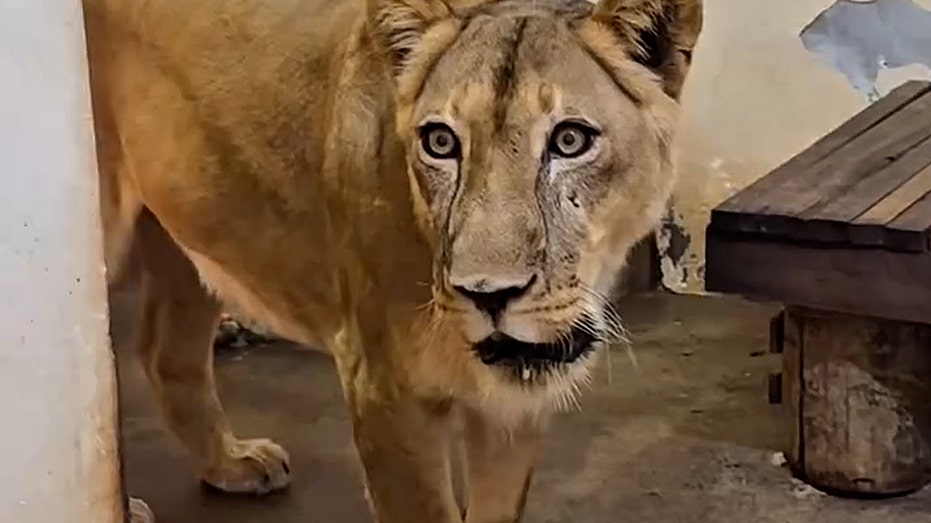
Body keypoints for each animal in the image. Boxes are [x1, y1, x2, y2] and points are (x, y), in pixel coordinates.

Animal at [82, 0, 703, 520]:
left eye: (570, 141)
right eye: (441, 142)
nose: (488, 294)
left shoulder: (511, 408)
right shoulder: (385, 389)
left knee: (166, 352)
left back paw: (230, 464)